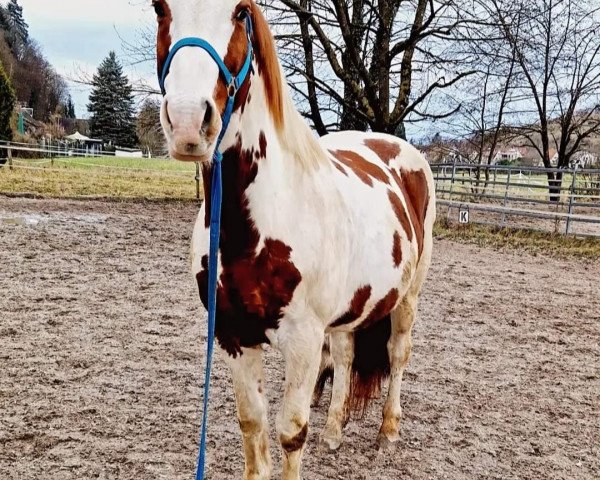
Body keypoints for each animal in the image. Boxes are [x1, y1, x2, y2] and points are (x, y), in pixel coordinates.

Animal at [154, 1, 436, 478]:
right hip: (350, 308)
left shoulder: (303, 340)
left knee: (398, 354)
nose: (189, 121)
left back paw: (388, 432)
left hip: (408, 298)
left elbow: (291, 432)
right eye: (160, 8)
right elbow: (253, 424)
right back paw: (335, 432)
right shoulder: (232, 335)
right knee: (345, 354)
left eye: (240, 12)